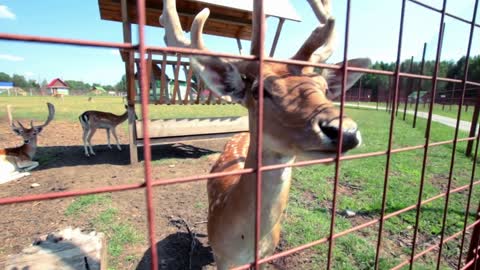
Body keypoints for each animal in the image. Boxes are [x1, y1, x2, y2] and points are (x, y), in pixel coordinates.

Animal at [161, 0, 372, 268]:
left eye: (325, 89)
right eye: (259, 90)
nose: (345, 130)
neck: (244, 244)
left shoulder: (267, 255)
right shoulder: (222, 257)